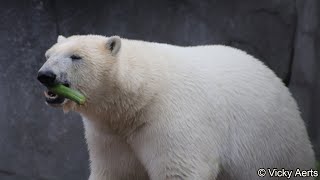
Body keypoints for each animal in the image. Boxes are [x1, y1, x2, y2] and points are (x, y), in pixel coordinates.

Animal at [37, 34, 316, 179]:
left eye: (76, 57)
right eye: (48, 55)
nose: (45, 75)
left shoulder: (171, 117)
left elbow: (179, 169)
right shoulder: (110, 134)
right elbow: (117, 171)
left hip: (272, 142)